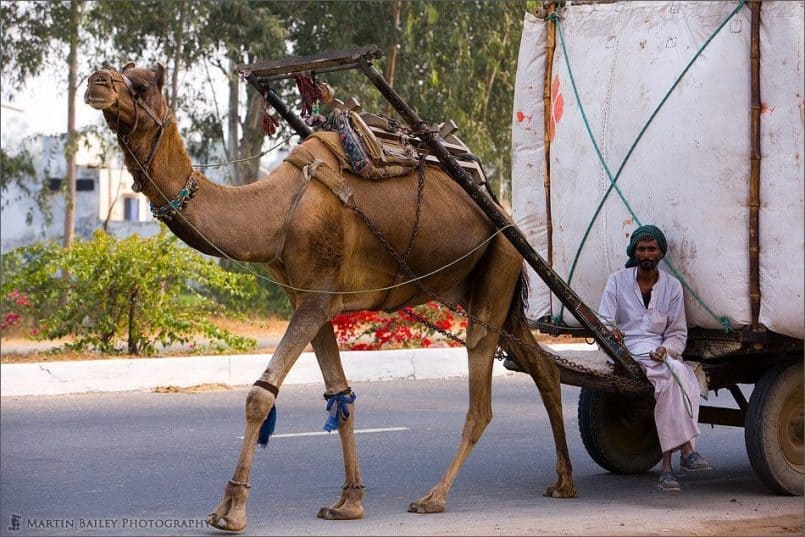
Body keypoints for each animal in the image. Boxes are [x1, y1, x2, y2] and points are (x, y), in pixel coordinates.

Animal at [85, 60, 576, 528]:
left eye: (141, 85)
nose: (96, 81)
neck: (278, 212)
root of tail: (502, 209)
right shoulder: (309, 299)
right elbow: (341, 397)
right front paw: (349, 503)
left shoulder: (318, 294)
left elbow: (259, 396)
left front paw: (231, 509)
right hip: (488, 286)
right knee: (542, 367)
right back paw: (563, 482)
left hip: (498, 264)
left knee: (481, 392)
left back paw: (434, 497)